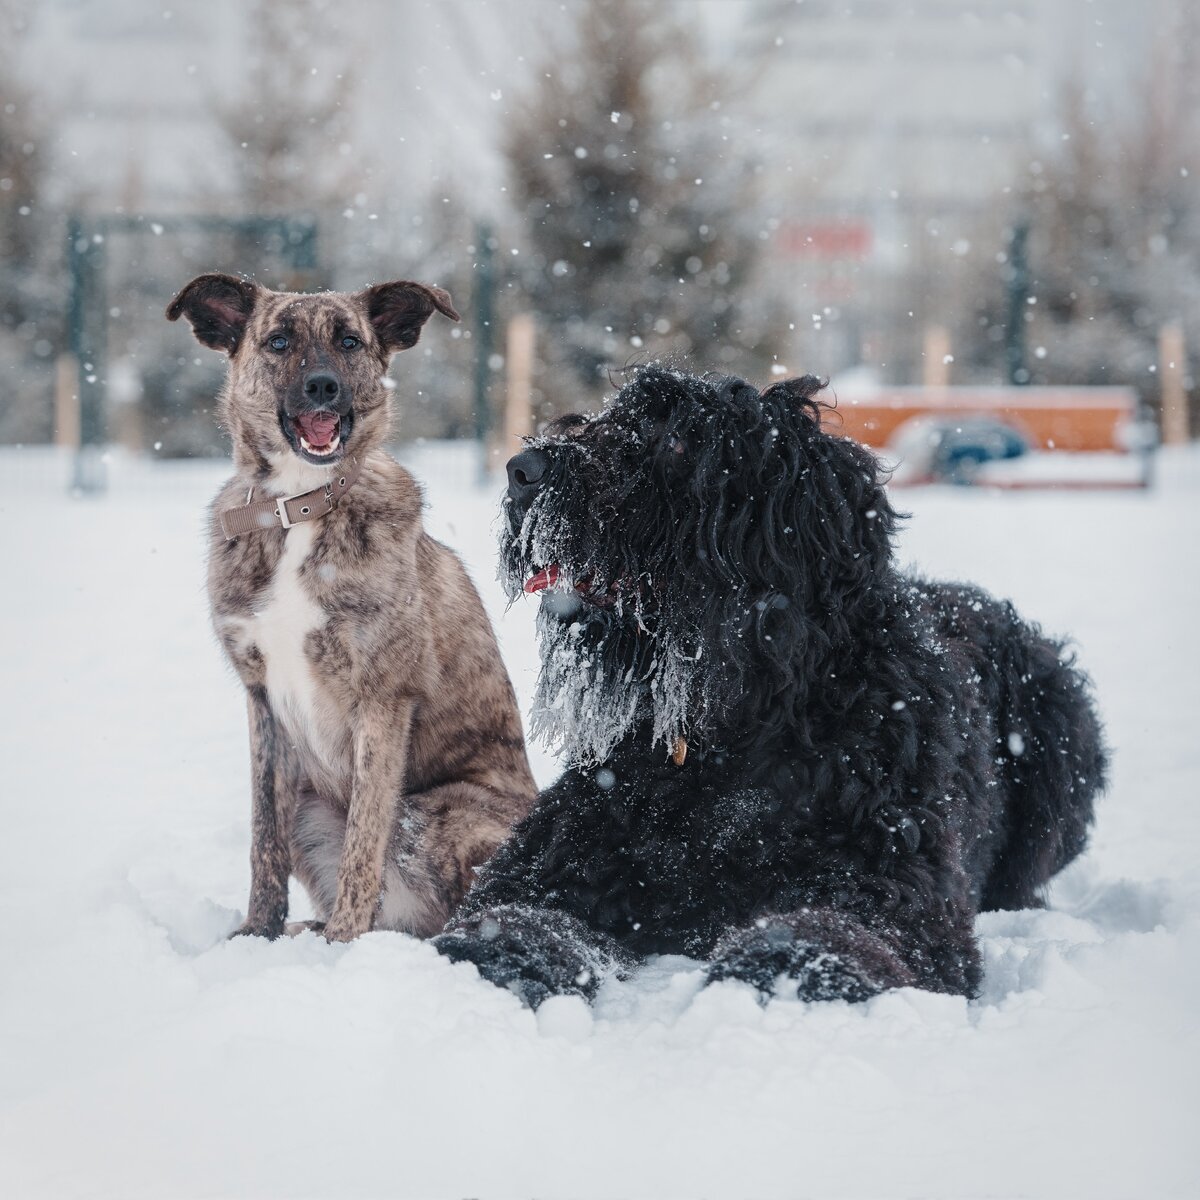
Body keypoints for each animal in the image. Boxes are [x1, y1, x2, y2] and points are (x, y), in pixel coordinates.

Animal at [168, 276, 535, 940]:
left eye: (349, 342)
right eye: (278, 341)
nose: (322, 387)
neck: (297, 506)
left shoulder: (382, 700)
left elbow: (365, 843)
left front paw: (344, 945)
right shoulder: (262, 701)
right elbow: (263, 837)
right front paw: (257, 933)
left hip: (436, 813)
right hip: (312, 804)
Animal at [432, 364, 1104, 1003]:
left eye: (677, 439)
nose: (523, 471)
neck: (736, 730)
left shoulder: (892, 884)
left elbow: (829, 928)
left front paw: (778, 969)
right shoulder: (553, 861)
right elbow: (513, 913)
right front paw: (491, 955)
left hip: (1059, 727)